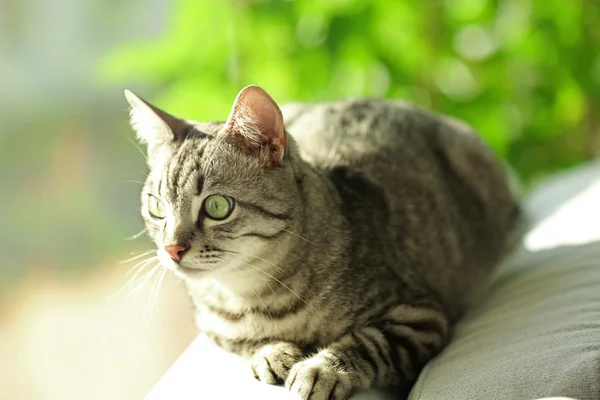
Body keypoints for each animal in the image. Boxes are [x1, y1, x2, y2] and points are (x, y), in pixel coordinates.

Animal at [125, 86, 520, 398]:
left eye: (217, 207)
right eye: (157, 207)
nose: (172, 249)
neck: (251, 296)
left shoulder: (419, 313)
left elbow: (367, 342)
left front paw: (322, 370)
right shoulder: (213, 329)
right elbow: (245, 343)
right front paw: (271, 353)